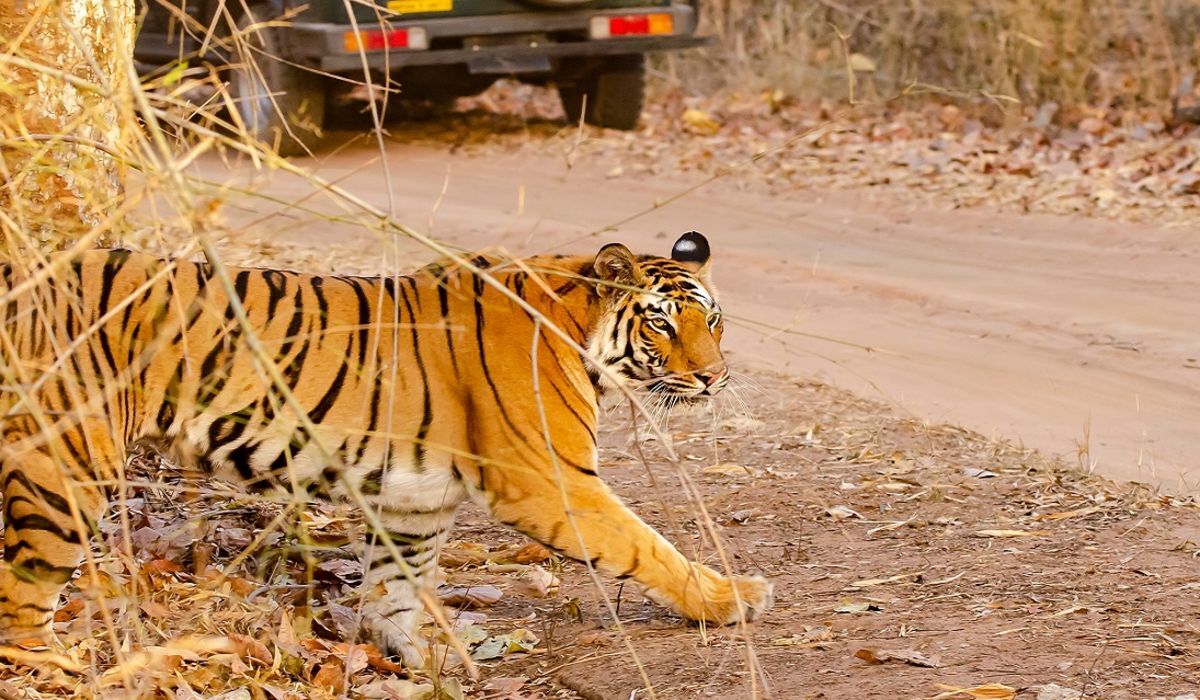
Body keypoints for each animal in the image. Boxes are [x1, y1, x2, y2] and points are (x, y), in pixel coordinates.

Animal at [0, 231, 772, 665]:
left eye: (714, 321)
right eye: (663, 325)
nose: (715, 376)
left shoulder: (414, 500)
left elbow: (395, 591)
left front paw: (419, 658)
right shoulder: (551, 482)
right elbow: (650, 546)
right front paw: (731, 598)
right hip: (62, 469)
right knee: (21, 605)